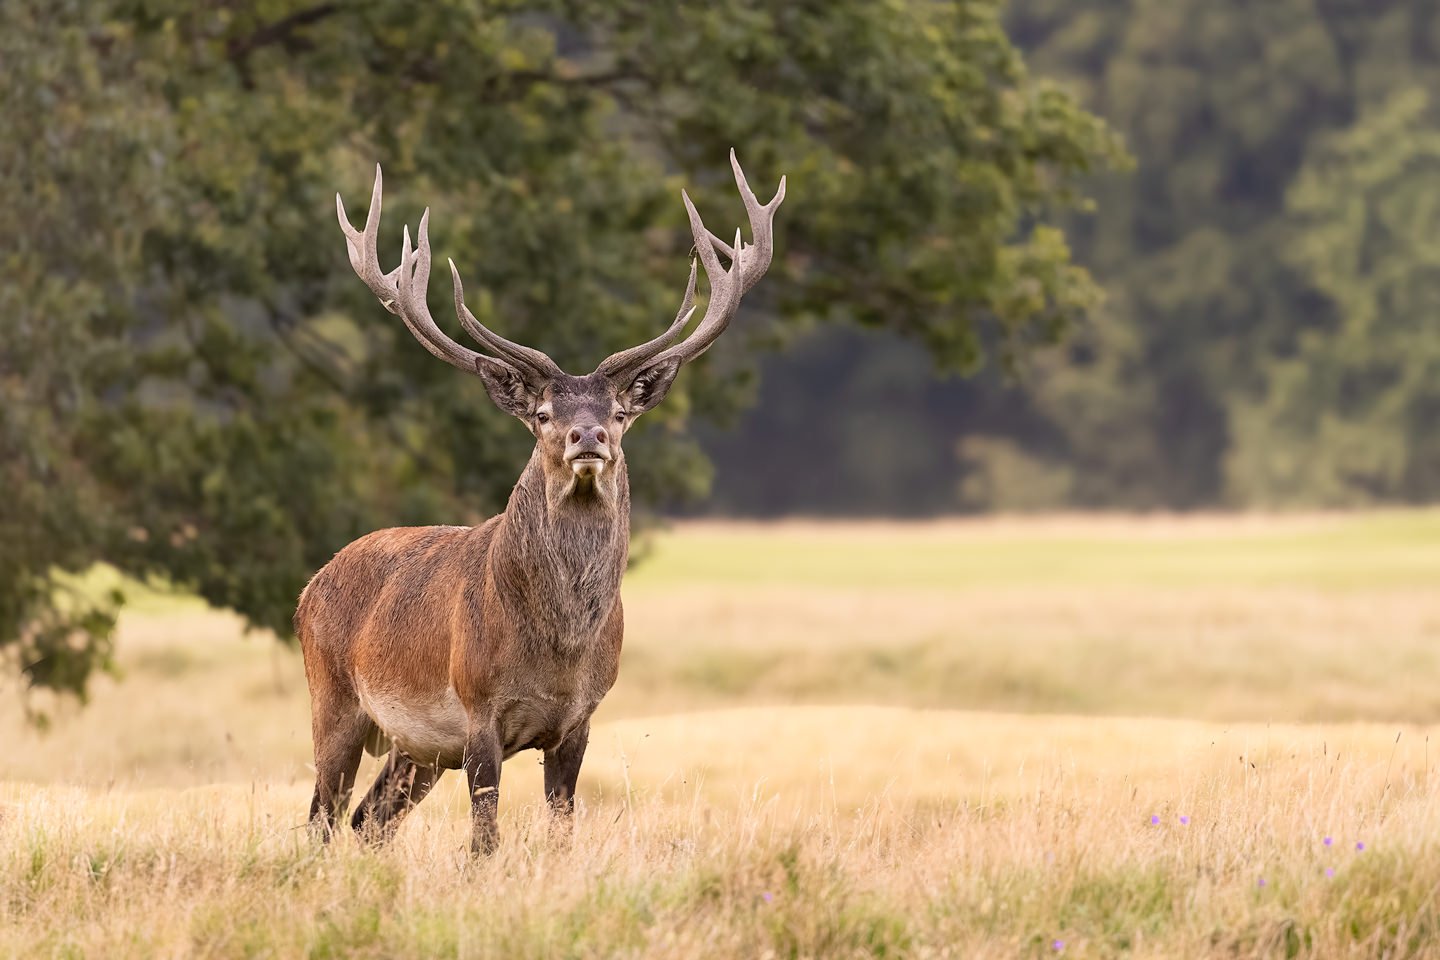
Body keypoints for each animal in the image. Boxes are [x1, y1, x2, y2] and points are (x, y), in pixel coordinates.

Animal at [296, 152, 784, 854]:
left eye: (619, 412)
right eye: (546, 414)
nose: (589, 437)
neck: (559, 651)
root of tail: (309, 587)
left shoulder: (580, 719)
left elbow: (561, 829)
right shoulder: (477, 711)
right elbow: (485, 840)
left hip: (415, 751)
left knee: (368, 821)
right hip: (333, 699)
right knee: (321, 817)